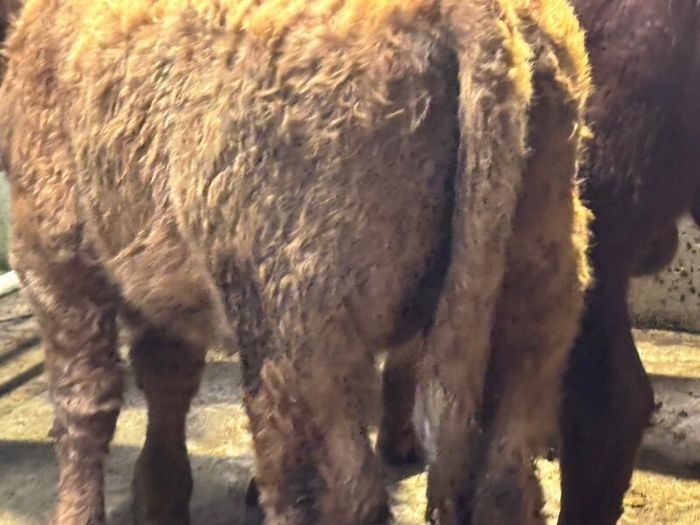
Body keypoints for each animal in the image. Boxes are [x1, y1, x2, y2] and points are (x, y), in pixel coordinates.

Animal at [0, 1, 592, 524]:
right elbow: (166, 379)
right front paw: (160, 501)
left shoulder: (53, 255)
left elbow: (84, 405)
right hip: (534, 301)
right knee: (505, 478)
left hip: (296, 335)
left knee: (327, 489)